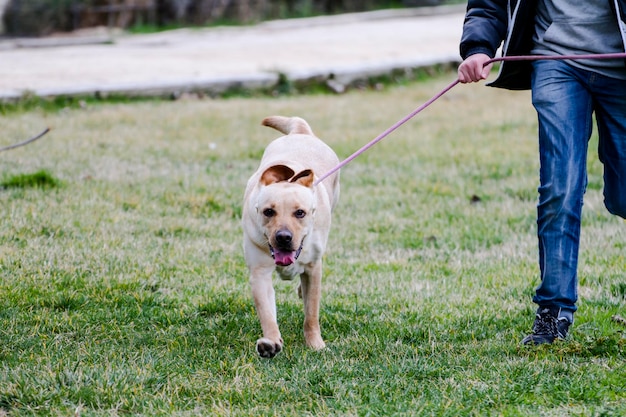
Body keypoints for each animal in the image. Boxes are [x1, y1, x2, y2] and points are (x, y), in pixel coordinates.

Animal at [241, 114, 338, 358]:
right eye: (268, 211)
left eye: (300, 213)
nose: (283, 237)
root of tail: (300, 132)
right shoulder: (260, 272)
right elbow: (267, 313)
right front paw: (271, 342)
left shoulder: (313, 269)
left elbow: (311, 314)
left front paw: (315, 344)